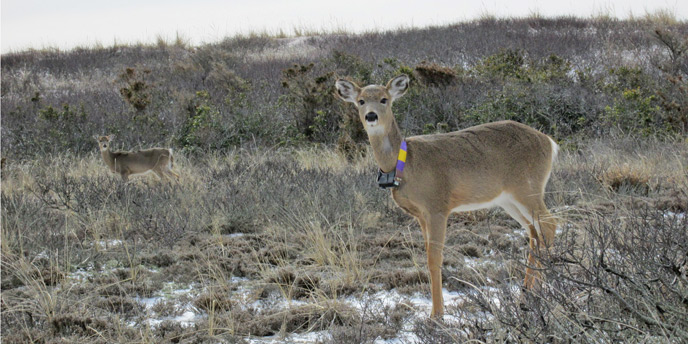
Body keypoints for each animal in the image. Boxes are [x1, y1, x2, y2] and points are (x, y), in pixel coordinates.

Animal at [334, 74, 560, 318]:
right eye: (361, 101)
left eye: (384, 99)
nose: (371, 116)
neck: (406, 164)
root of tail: (550, 142)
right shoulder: (421, 215)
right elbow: (427, 256)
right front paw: (436, 309)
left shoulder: (437, 206)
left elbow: (435, 259)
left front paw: (437, 313)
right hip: (508, 199)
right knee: (534, 233)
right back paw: (526, 295)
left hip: (528, 187)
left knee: (549, 224)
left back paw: (543, 292)